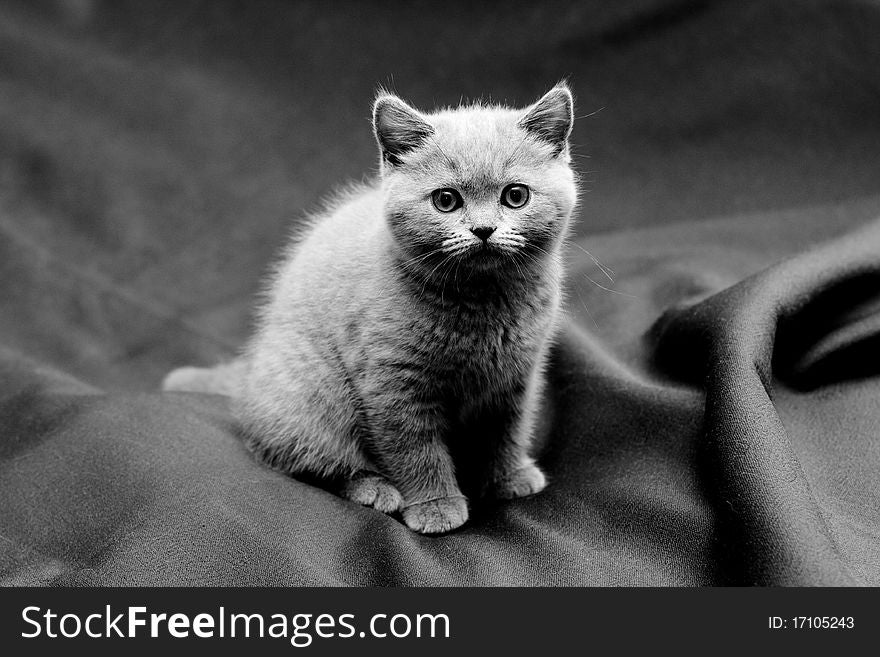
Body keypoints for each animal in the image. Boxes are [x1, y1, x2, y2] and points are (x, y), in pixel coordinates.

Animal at [164, 83, 576, 532]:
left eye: (516, 196)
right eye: (446, 200)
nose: (483, 229)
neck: (481, 302)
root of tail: (249, 373)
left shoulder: (518, 375)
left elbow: (506, 431)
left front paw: (509, 476)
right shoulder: (390, 382)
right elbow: (415, 449)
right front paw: (435, 505)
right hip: (315, 391)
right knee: (306, 457)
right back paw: (375, 489)